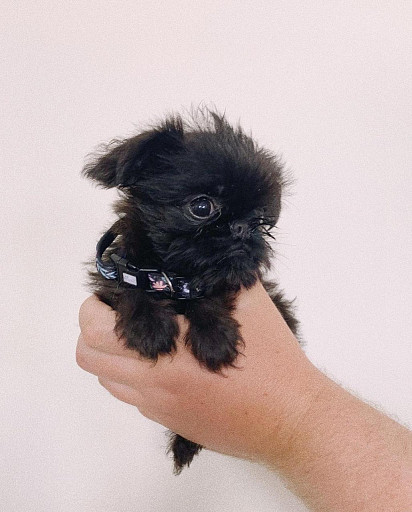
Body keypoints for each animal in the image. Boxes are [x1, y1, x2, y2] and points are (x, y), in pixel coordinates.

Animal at [82, 109, 298, 476]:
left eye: (260, 218)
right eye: (201, 207)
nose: (242, 227)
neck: (170, 274)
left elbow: (207, 292)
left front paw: (213, 335)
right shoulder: (116, 276)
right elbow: (130, 285)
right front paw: (148, 324)